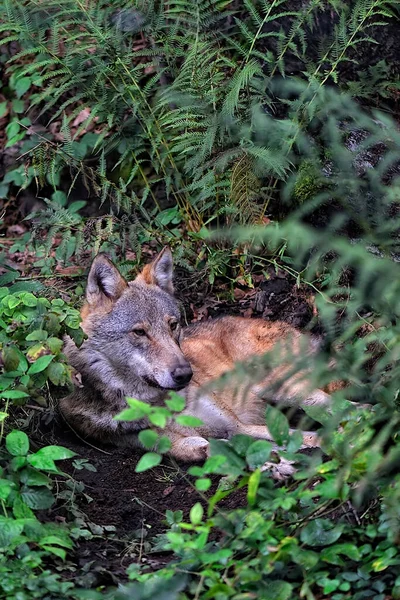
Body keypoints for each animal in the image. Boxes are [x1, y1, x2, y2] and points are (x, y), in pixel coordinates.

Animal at [59, 246, 338, 476]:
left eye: (172, 325)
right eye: (139, 332)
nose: (185, 374)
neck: (159, 404)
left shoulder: (236, 426)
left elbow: (303, 437)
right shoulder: (192, 443)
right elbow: (235, 451)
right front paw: (279, 463)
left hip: (289, 389)